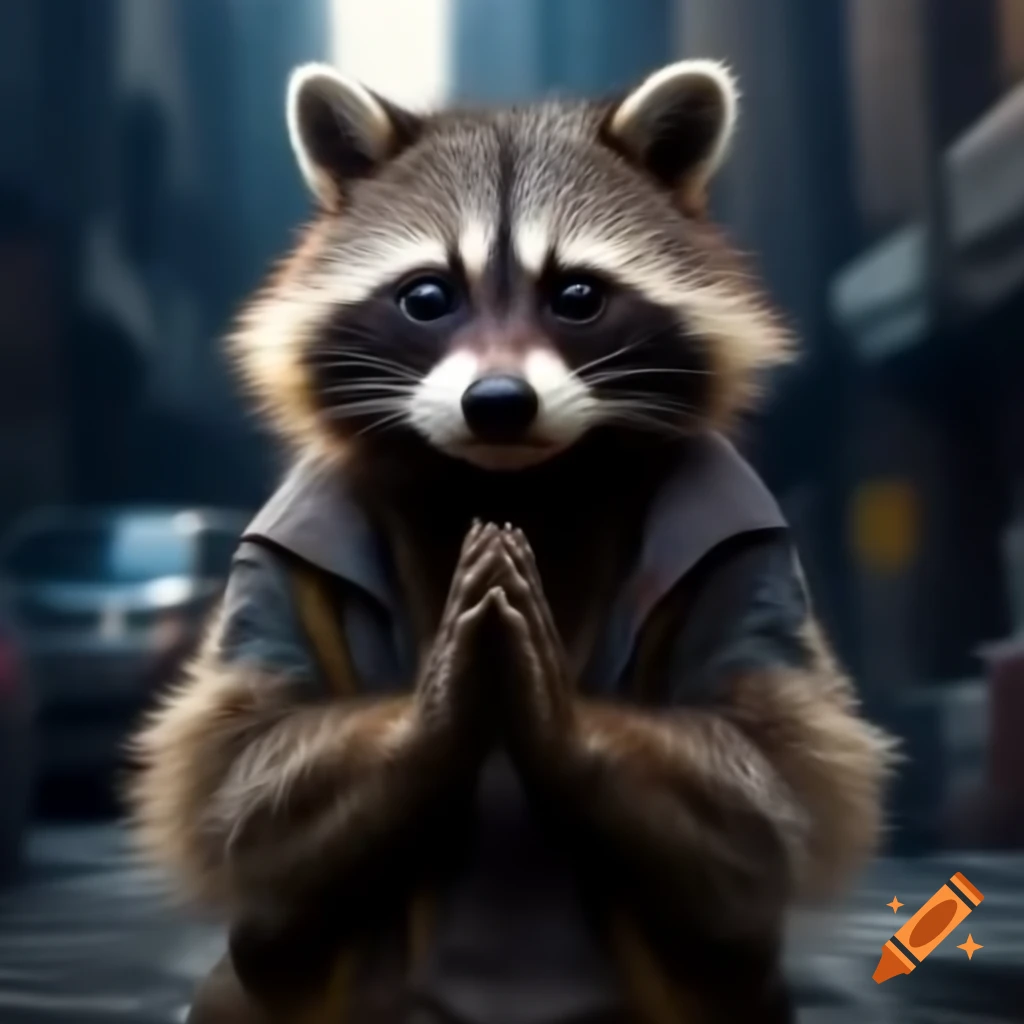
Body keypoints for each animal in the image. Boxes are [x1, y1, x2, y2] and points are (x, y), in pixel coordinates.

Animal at [130, 59, 897, 1024]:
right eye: (428, 296)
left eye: (576, 295)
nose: (497, 402)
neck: (512, 484)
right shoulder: (281, 546)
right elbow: (240, 781)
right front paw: (436, 707)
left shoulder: (738, 535)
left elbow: (770, 780)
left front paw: (554, 712)